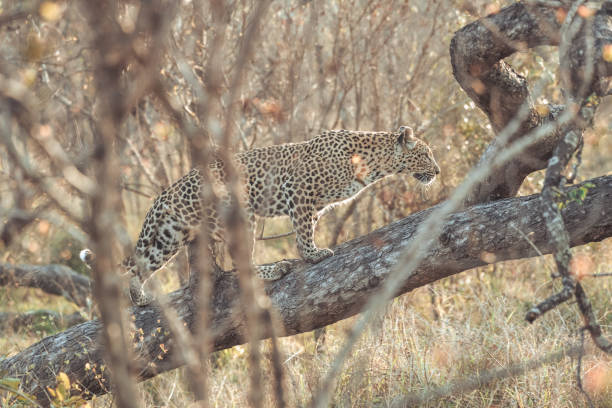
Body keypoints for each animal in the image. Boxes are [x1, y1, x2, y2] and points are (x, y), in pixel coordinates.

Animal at [82, 125, 440, 306]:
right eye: (425, 154)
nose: (437, 171)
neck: (374, 163)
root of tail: (168, 190)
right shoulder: (300, 190)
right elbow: (303, 234)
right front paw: (313, 255)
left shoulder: (315, 205)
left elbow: (308, 226)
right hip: (240, 213)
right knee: (240, 264)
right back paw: (276, 269)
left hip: (169, 237)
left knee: (140, 266)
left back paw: (140, 297)